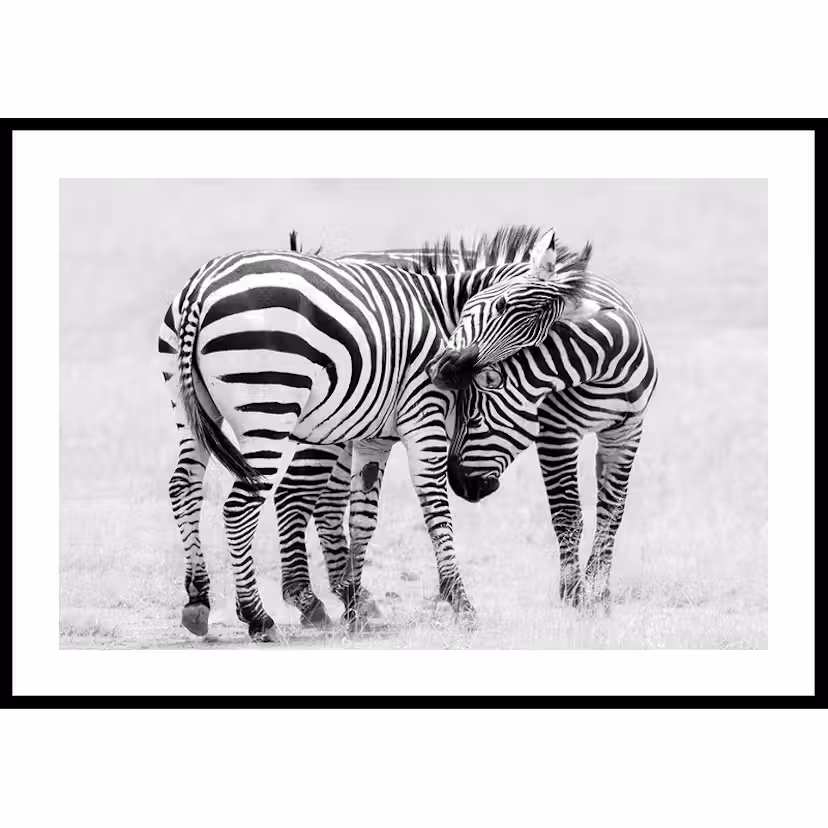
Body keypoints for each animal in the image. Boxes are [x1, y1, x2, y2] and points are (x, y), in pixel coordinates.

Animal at [158, 227, 597, 639]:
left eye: (531, 340)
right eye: (502, 305)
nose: (448, 371)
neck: (441, 311)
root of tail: (202, 287)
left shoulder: (376, 436)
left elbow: (363, 517)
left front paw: (355, 605)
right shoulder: (424, 417)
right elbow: (434, 505)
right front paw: (461, 602)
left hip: (191, 410)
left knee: (184, 489)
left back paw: (198, 600)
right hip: (270, 408)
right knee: (241, 507)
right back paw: (258, 617)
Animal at [429, 234, 658, 606]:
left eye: (474, 420)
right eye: (499, 305)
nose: (449, 372)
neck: (606, 372)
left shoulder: (628, 432)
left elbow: (612, 510)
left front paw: (598, 587)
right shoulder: (556, 434)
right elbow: (567, 514)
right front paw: (573, 592)